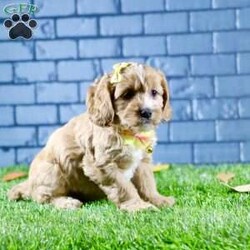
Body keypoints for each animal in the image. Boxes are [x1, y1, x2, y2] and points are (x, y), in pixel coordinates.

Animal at [8, 62, 175, 211]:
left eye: (154, 92)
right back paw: (66, 202)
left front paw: (157, 199)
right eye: (127, 94)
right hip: (53, 171)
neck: (127, 132)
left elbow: (147, 182)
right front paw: (138, 206)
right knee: (42, 197)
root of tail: (29, 183)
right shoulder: (102, 164)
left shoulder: (143, 161)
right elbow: (124, 187)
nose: (147, 112)